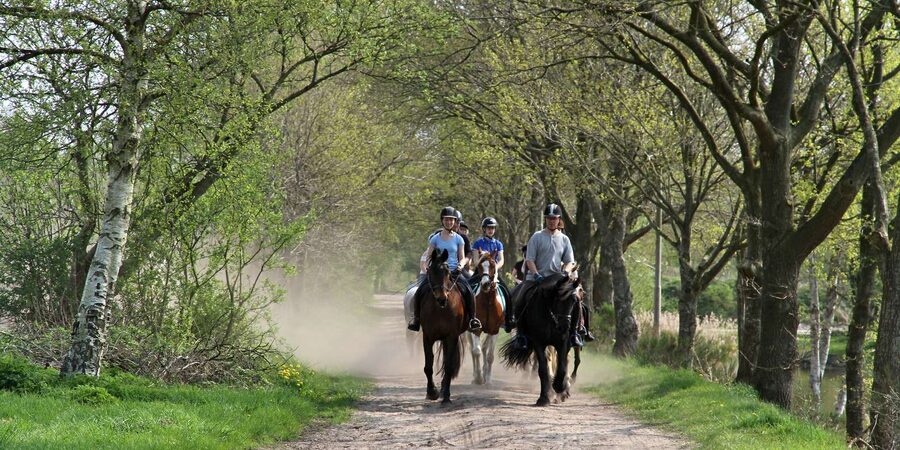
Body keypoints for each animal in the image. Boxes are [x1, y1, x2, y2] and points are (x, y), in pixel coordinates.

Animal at [418, 248, 468, 404]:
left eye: (447, 272)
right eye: (431, 271)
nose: (442, 298)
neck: (440, 309)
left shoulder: (452, 337)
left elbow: (449, 366)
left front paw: (446, 395)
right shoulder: (427, 337)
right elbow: (428, 367)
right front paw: (432, 392)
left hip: (448, 339)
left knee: (447, 363)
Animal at [467, 251, 504, 385]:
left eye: (493, 265)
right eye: (479, 266)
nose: (485, 284)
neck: (488, 301)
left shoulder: (494, 330)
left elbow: (490, 356)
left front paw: (488, 379)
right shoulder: (475, 329)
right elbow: (476, 351)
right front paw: (478, 377)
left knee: (484, 347)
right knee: (473, 350)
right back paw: (476, 376)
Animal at [501, 273, 581, 406]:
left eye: (574, 301)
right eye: (557, 299)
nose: (564, 327)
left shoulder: (562, 342)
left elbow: (562, 366)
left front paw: (559, 387)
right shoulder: (538, 342)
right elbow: (543, 369)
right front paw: (544, 397)